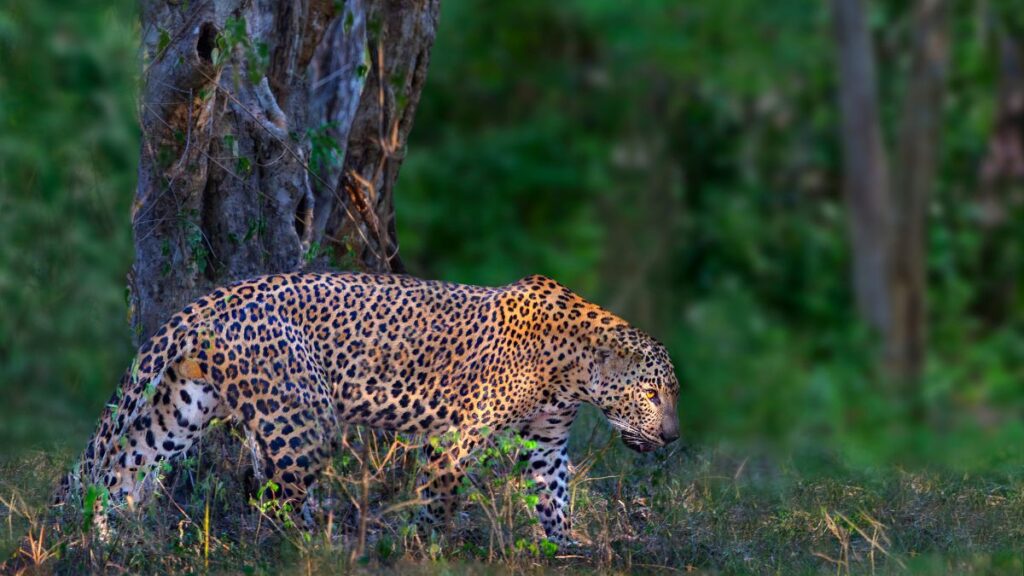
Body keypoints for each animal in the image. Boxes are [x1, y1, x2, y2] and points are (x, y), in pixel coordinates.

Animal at [9, 272, 679, 561]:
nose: (673, 436)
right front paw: (425, 547)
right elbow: (441, 497)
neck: (577, 369)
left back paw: (107, 539)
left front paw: (566, 544)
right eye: (652, 395)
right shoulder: (461, 433)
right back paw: (327, 547)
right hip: (304, 415)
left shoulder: (548, 439)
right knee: (277, 501)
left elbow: (556, 492)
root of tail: (215, 297)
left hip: (181, 407)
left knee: (121, 471)